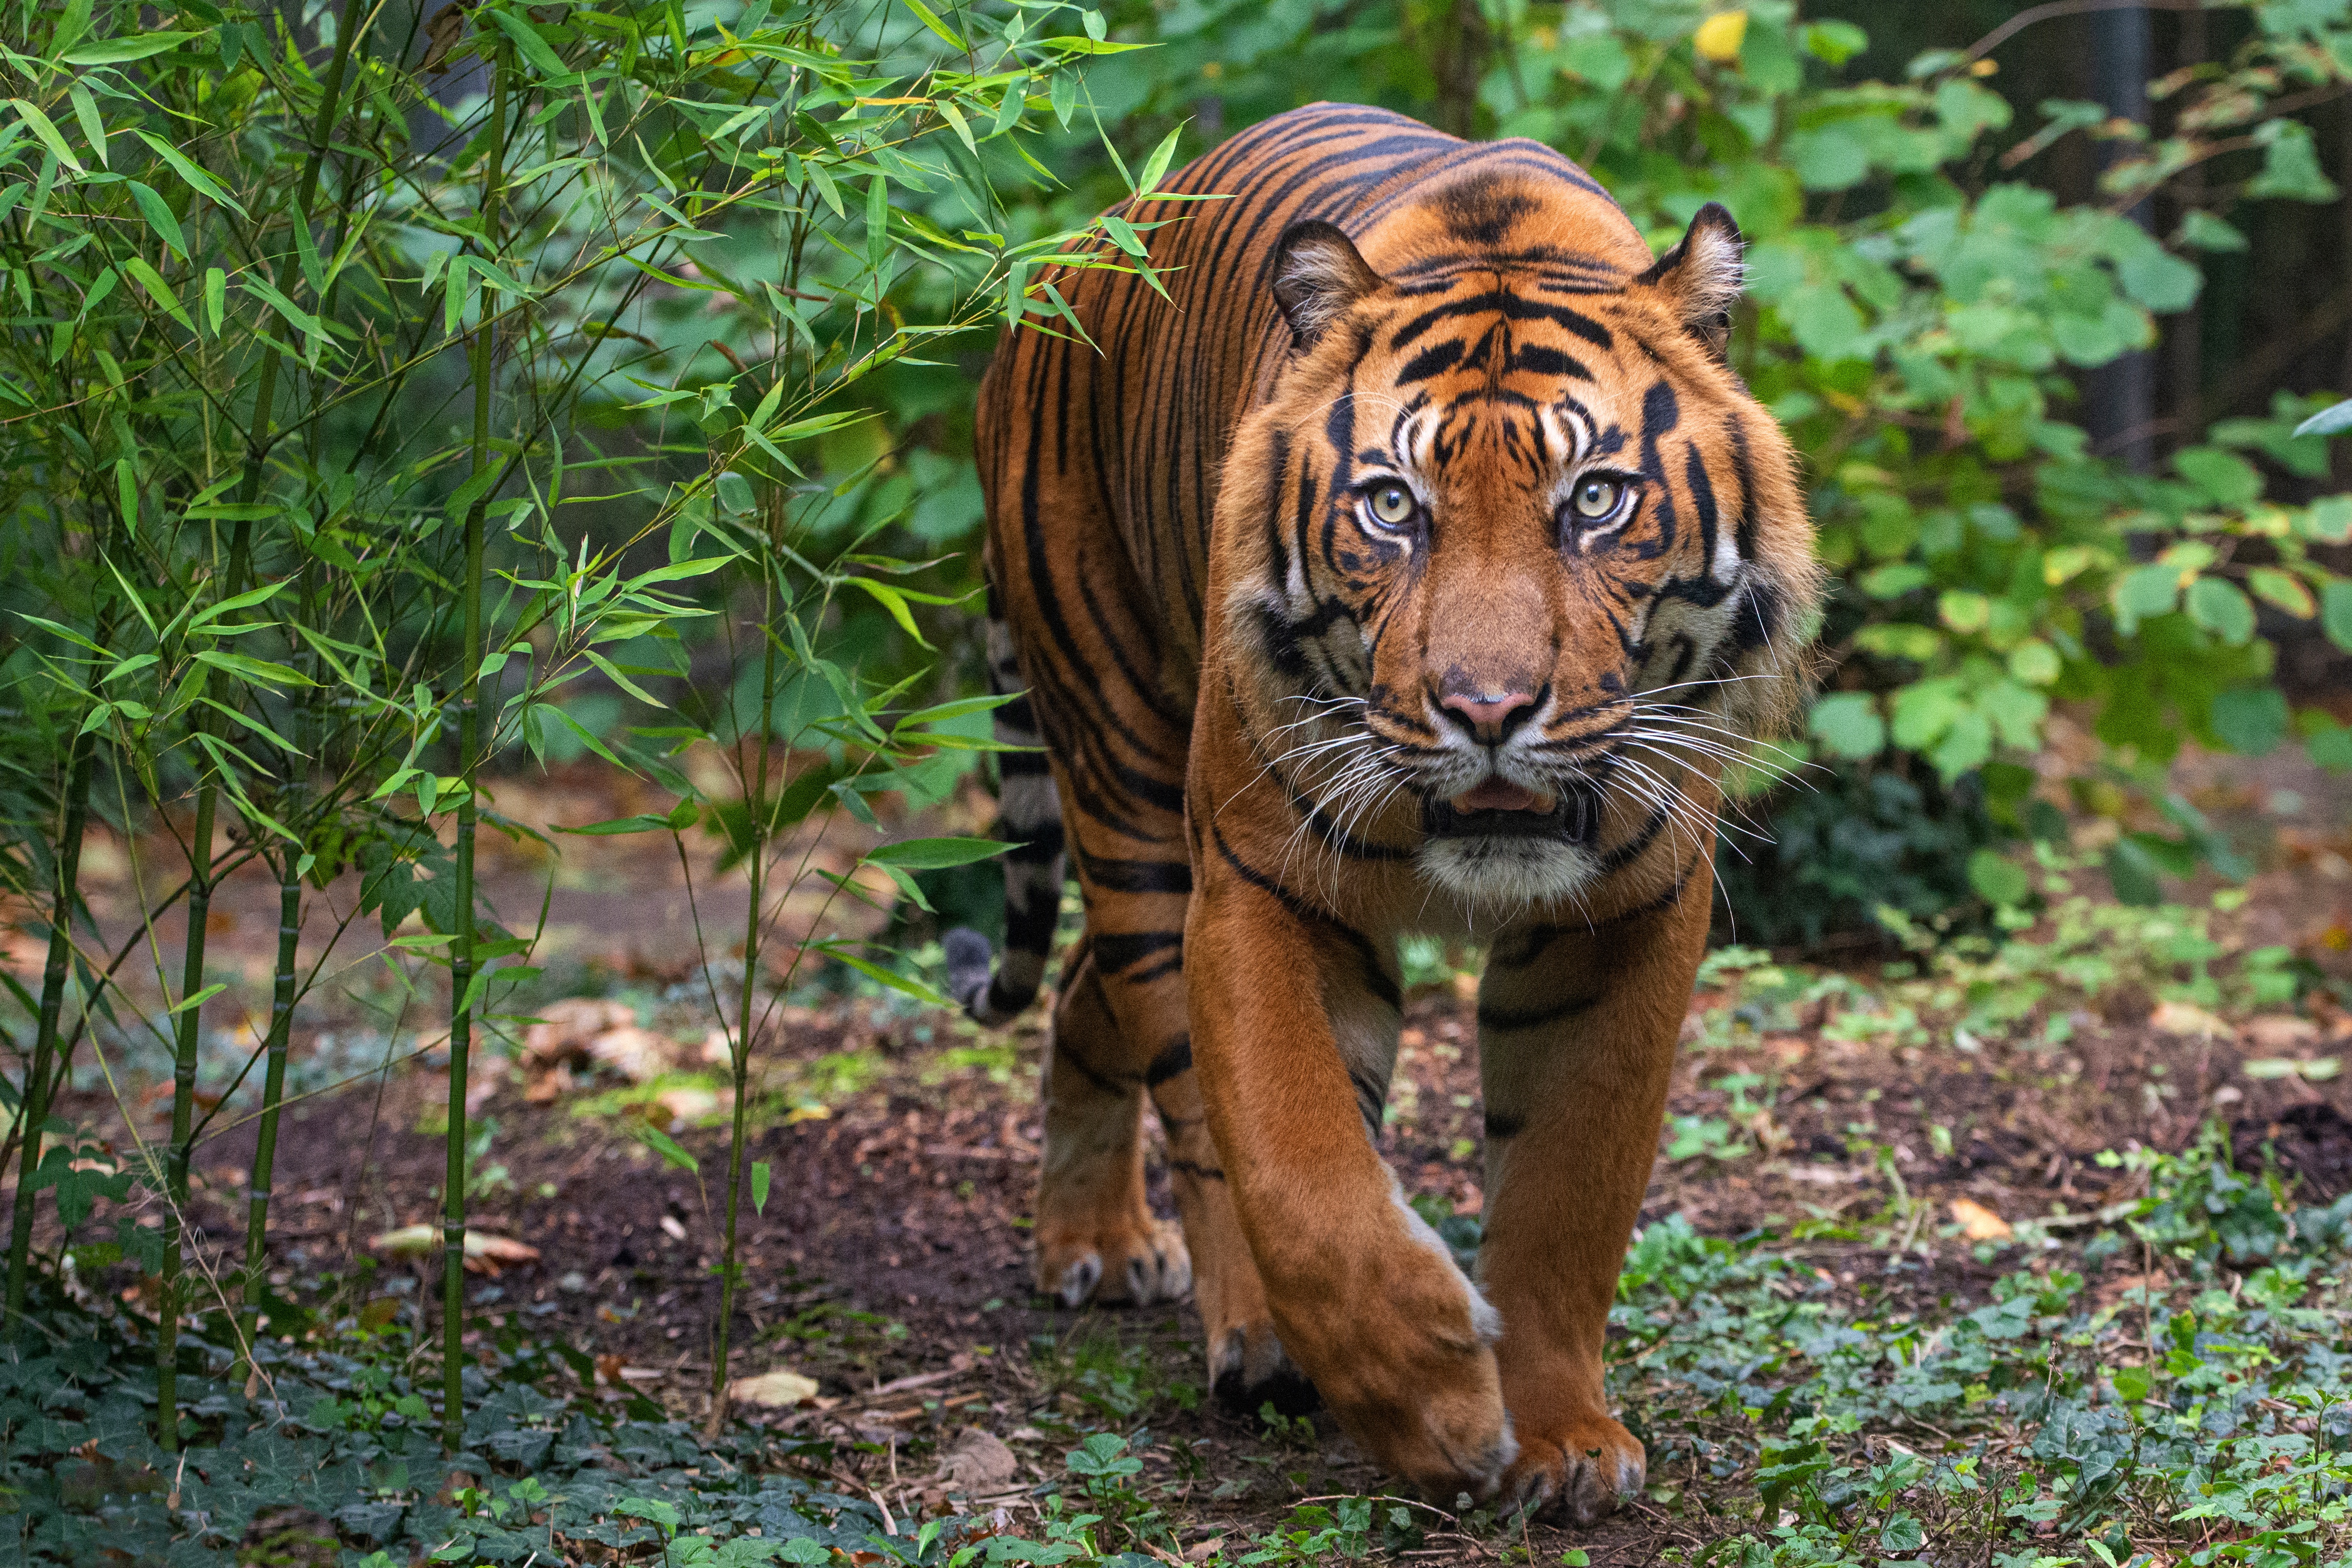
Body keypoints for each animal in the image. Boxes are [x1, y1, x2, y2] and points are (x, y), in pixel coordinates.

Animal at [936, 101, 1816, 1523]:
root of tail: (1058, 266)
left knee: (1081, 986)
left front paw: (1562, 1437)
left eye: (1597, 500)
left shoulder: (1633, 913)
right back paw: (1244, 1332)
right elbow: (1299, 1169)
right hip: (1128, 779)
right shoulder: (1256, 880)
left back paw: (1097, 1241)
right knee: (1176, 1071)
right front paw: (1435, 1402)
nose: (1487, 708)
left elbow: (1570, 1194)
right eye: (1393, 508)